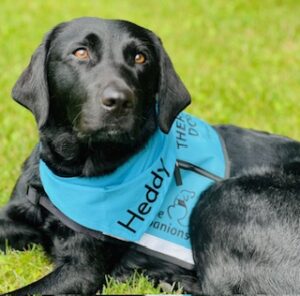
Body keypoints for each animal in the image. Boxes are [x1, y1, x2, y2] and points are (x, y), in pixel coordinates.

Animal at [1, 17, 300, 294]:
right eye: (80, 52)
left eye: (140, 57)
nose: (119, 101)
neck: (71, 173)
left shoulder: (81, 270)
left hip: (223, 195)